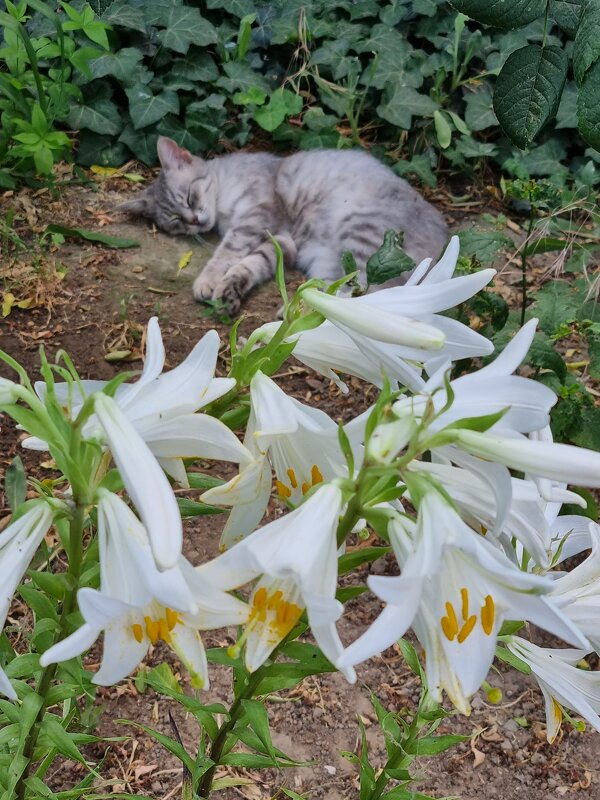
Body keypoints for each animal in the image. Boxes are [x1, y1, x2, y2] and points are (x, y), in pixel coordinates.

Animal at [119, 136, 448, 314]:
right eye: (175, 221)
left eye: (189, 197)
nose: (193, 221)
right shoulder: (283, 243)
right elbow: (252, 263)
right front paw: (231, 287)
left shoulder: (257, 215)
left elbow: (225, 254)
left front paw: (209, 280)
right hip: (325, 262)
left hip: (362, 237)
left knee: (367, 295)